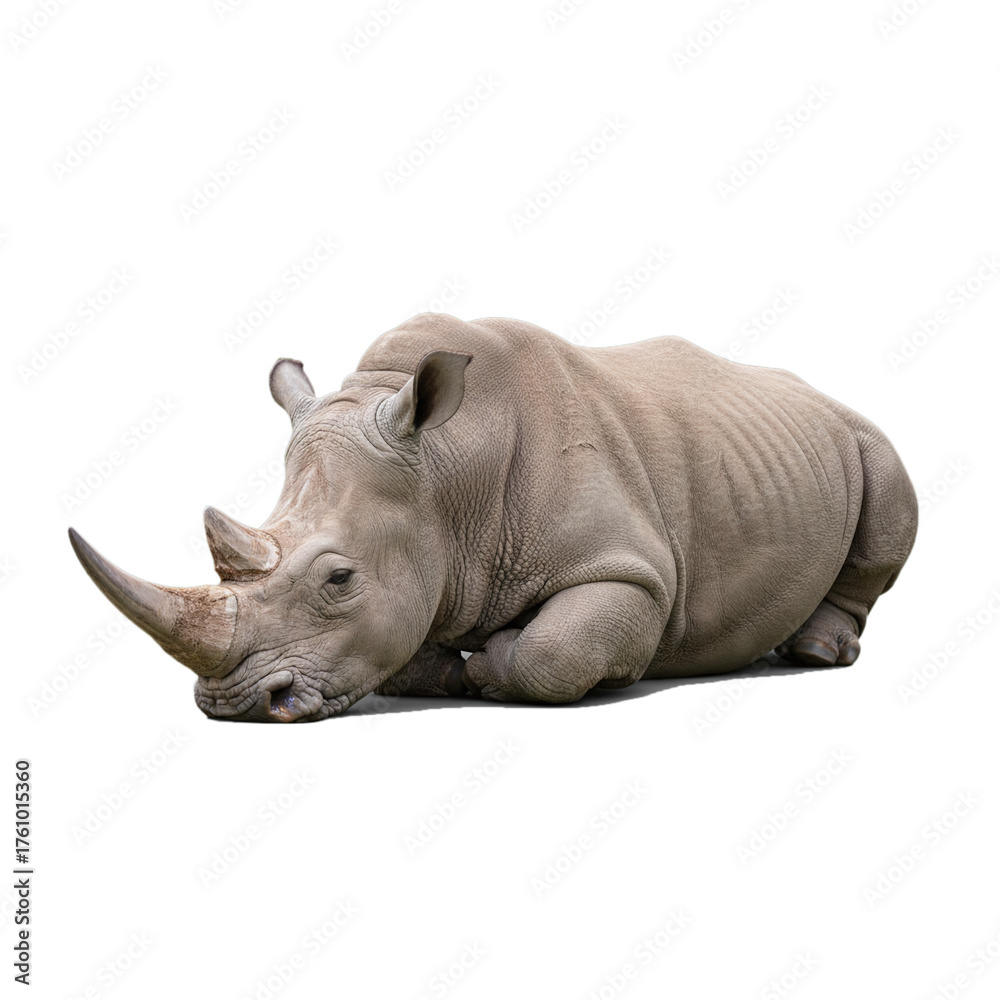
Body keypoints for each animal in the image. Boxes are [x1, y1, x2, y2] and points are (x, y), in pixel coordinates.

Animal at [69, 313, 918, 722]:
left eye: (340, 579)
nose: (235, 707)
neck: (447, 476)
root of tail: (812, 389)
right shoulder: (423, 567)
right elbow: (408, 641)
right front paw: (456, 668)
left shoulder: (632, 571)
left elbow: (551, 651)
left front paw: (497, 665)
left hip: (861, 432)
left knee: (890, 496)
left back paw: (813, 652)